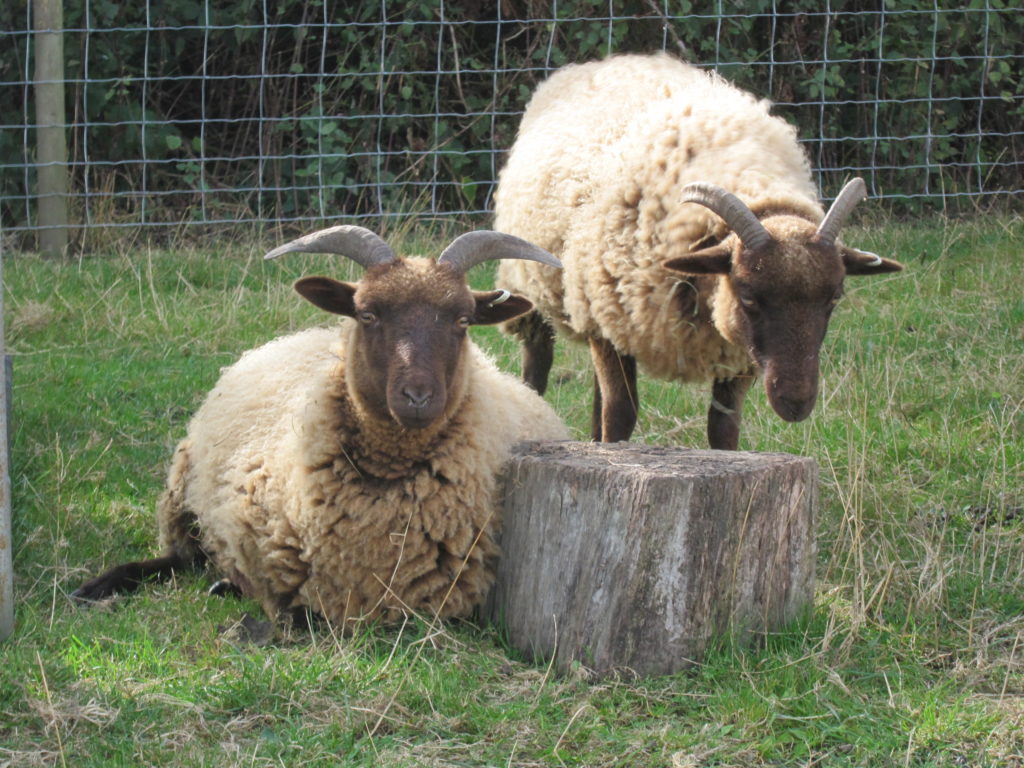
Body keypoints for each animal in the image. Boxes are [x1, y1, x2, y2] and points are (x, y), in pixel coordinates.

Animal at [74, 227, 569, 630]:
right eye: (366, 314)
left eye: (463, 320)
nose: (417, 397)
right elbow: (289, 608)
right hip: (181, 491)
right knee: (178, 559)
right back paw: (99, 587)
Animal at [495, 52, 905, 450]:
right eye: (748, 295)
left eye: (834, 297)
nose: (796, 404)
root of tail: (604, 61)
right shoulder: (603, 313)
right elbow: (622, 413)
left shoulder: (735, 354)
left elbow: (723, 428)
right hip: (535, 291)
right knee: (539, 364)